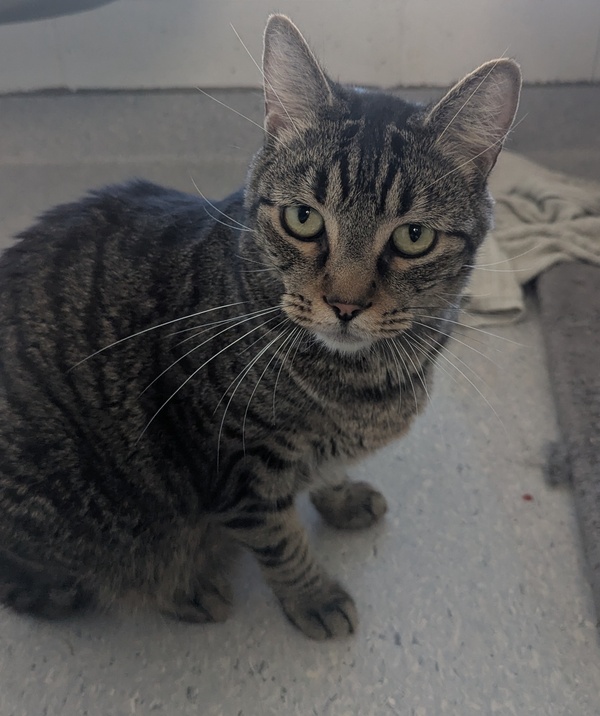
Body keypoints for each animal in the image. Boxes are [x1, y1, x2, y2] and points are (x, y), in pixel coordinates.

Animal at [0, 15, 520, 640]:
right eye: (303, 219)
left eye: (412, 237)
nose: (344, 304)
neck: (360, 383)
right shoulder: (238, 470)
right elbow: (282, 545)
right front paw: (314, 598)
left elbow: (325, 473)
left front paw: (340, 496)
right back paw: (186, 588)